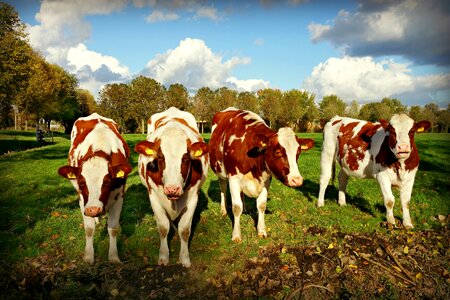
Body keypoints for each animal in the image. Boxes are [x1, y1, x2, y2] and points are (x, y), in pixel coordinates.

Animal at [58, 113, 132, 264]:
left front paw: (114, 256)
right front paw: (88, 256)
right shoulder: (82, 200)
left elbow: (113, 228)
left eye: (108, 182)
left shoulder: (119, 196)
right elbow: (89, 229)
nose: (93, 210)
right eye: (81, 183)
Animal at [134, 107, 210, 268]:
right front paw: (163, 256)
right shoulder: (153, 196)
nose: (172, 189)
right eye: (160, 157)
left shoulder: (193, 197)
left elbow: (185, 230)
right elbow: (163, 227)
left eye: (185, 158)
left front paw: (184, 258)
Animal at [208, 106, 312, 243]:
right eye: (278, 152)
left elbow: (261, 205)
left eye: (298, 153)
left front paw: (261, 231)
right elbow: (236, 207)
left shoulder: (266, 179)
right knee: (223, 190)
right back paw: (223, 210)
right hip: (220, 172)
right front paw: (236, 235)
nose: (297, 180)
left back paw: (245, 208)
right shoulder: (233, 177)